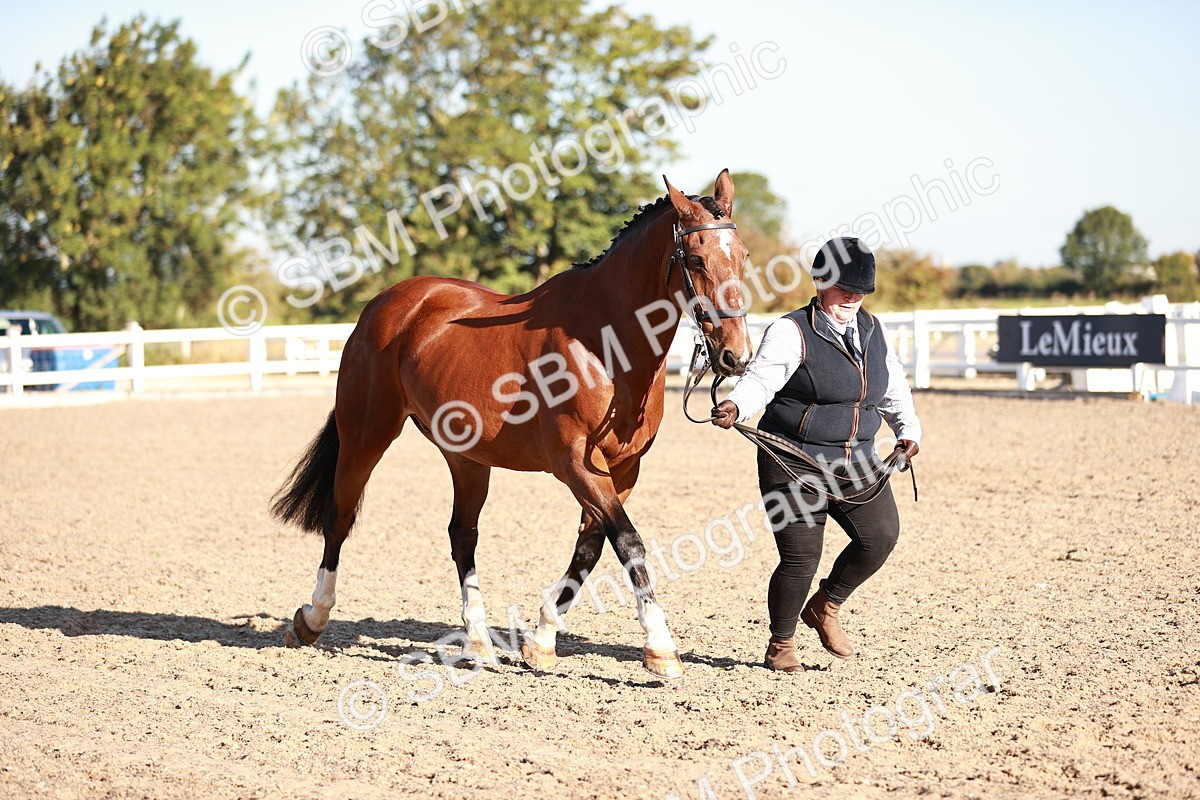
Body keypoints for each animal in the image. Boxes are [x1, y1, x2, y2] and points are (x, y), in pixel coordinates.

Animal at [270, 169, 752, 678]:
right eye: (695, 258)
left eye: (742, 256)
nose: (735, 356)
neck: (605, 342)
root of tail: (386, 304)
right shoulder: (575, 464)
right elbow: (629, 543)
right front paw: (661, 648)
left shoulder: (623, 469)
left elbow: (591, 548)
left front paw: (540, 641)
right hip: (366, 436)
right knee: (340, 516)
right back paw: (312, 618)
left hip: (466, 458)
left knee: (462, 535)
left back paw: (479, 643)